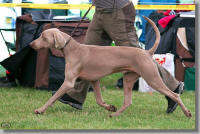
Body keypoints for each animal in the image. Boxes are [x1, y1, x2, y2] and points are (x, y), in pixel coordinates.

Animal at [29, 16, 191, 118]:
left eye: (43, 37)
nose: (31, 44)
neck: (72, 48)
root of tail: (146, 52)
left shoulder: (69, 82)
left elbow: (53, 97)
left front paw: (40, 110)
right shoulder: (94, 80)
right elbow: (99, 100)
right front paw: (110, 107)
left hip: (151, 78)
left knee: (174, 95)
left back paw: (187, 113)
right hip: (128, 79)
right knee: (128, 101)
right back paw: (114, 114)